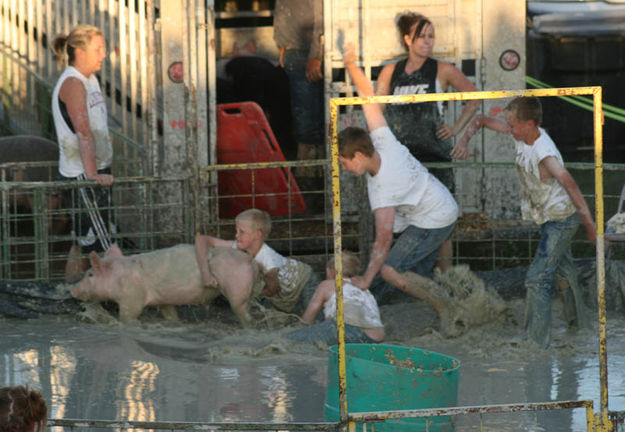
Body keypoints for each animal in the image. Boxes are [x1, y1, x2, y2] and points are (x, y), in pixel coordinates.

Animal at [70, 245, 264, 326]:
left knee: (243, 312)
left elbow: (127, 316)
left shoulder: (131, 298)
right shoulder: (162, 301)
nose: (72, 289)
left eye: (90, 274)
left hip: (236, 287)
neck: (119, 277)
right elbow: (169, 313)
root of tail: (251, 261)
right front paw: (175, 322)